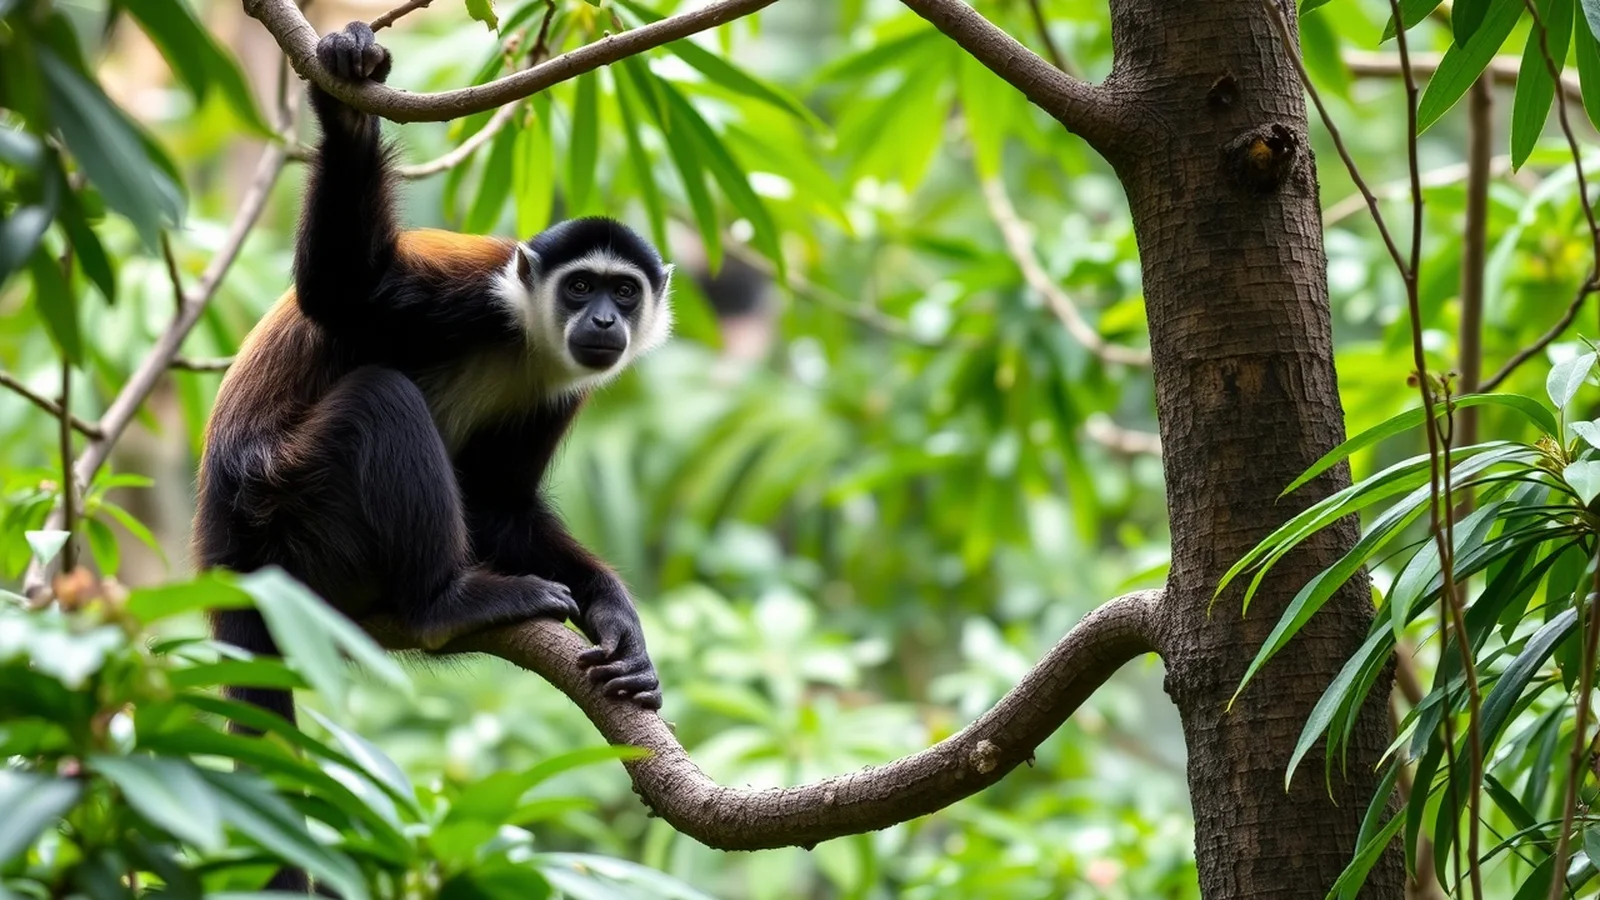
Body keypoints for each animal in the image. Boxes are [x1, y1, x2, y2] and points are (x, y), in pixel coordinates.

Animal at [193, 19, 668, 773]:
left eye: (623, 292)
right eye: (579, 288)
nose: (602, 322)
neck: (522, 336)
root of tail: (226, 560)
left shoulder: (563, 387)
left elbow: (500, 505)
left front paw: (615, 616)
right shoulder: (471, 292)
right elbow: (341, 292)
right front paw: (348, 110)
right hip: (287, 514)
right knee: (378, 399)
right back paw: (443, 606)